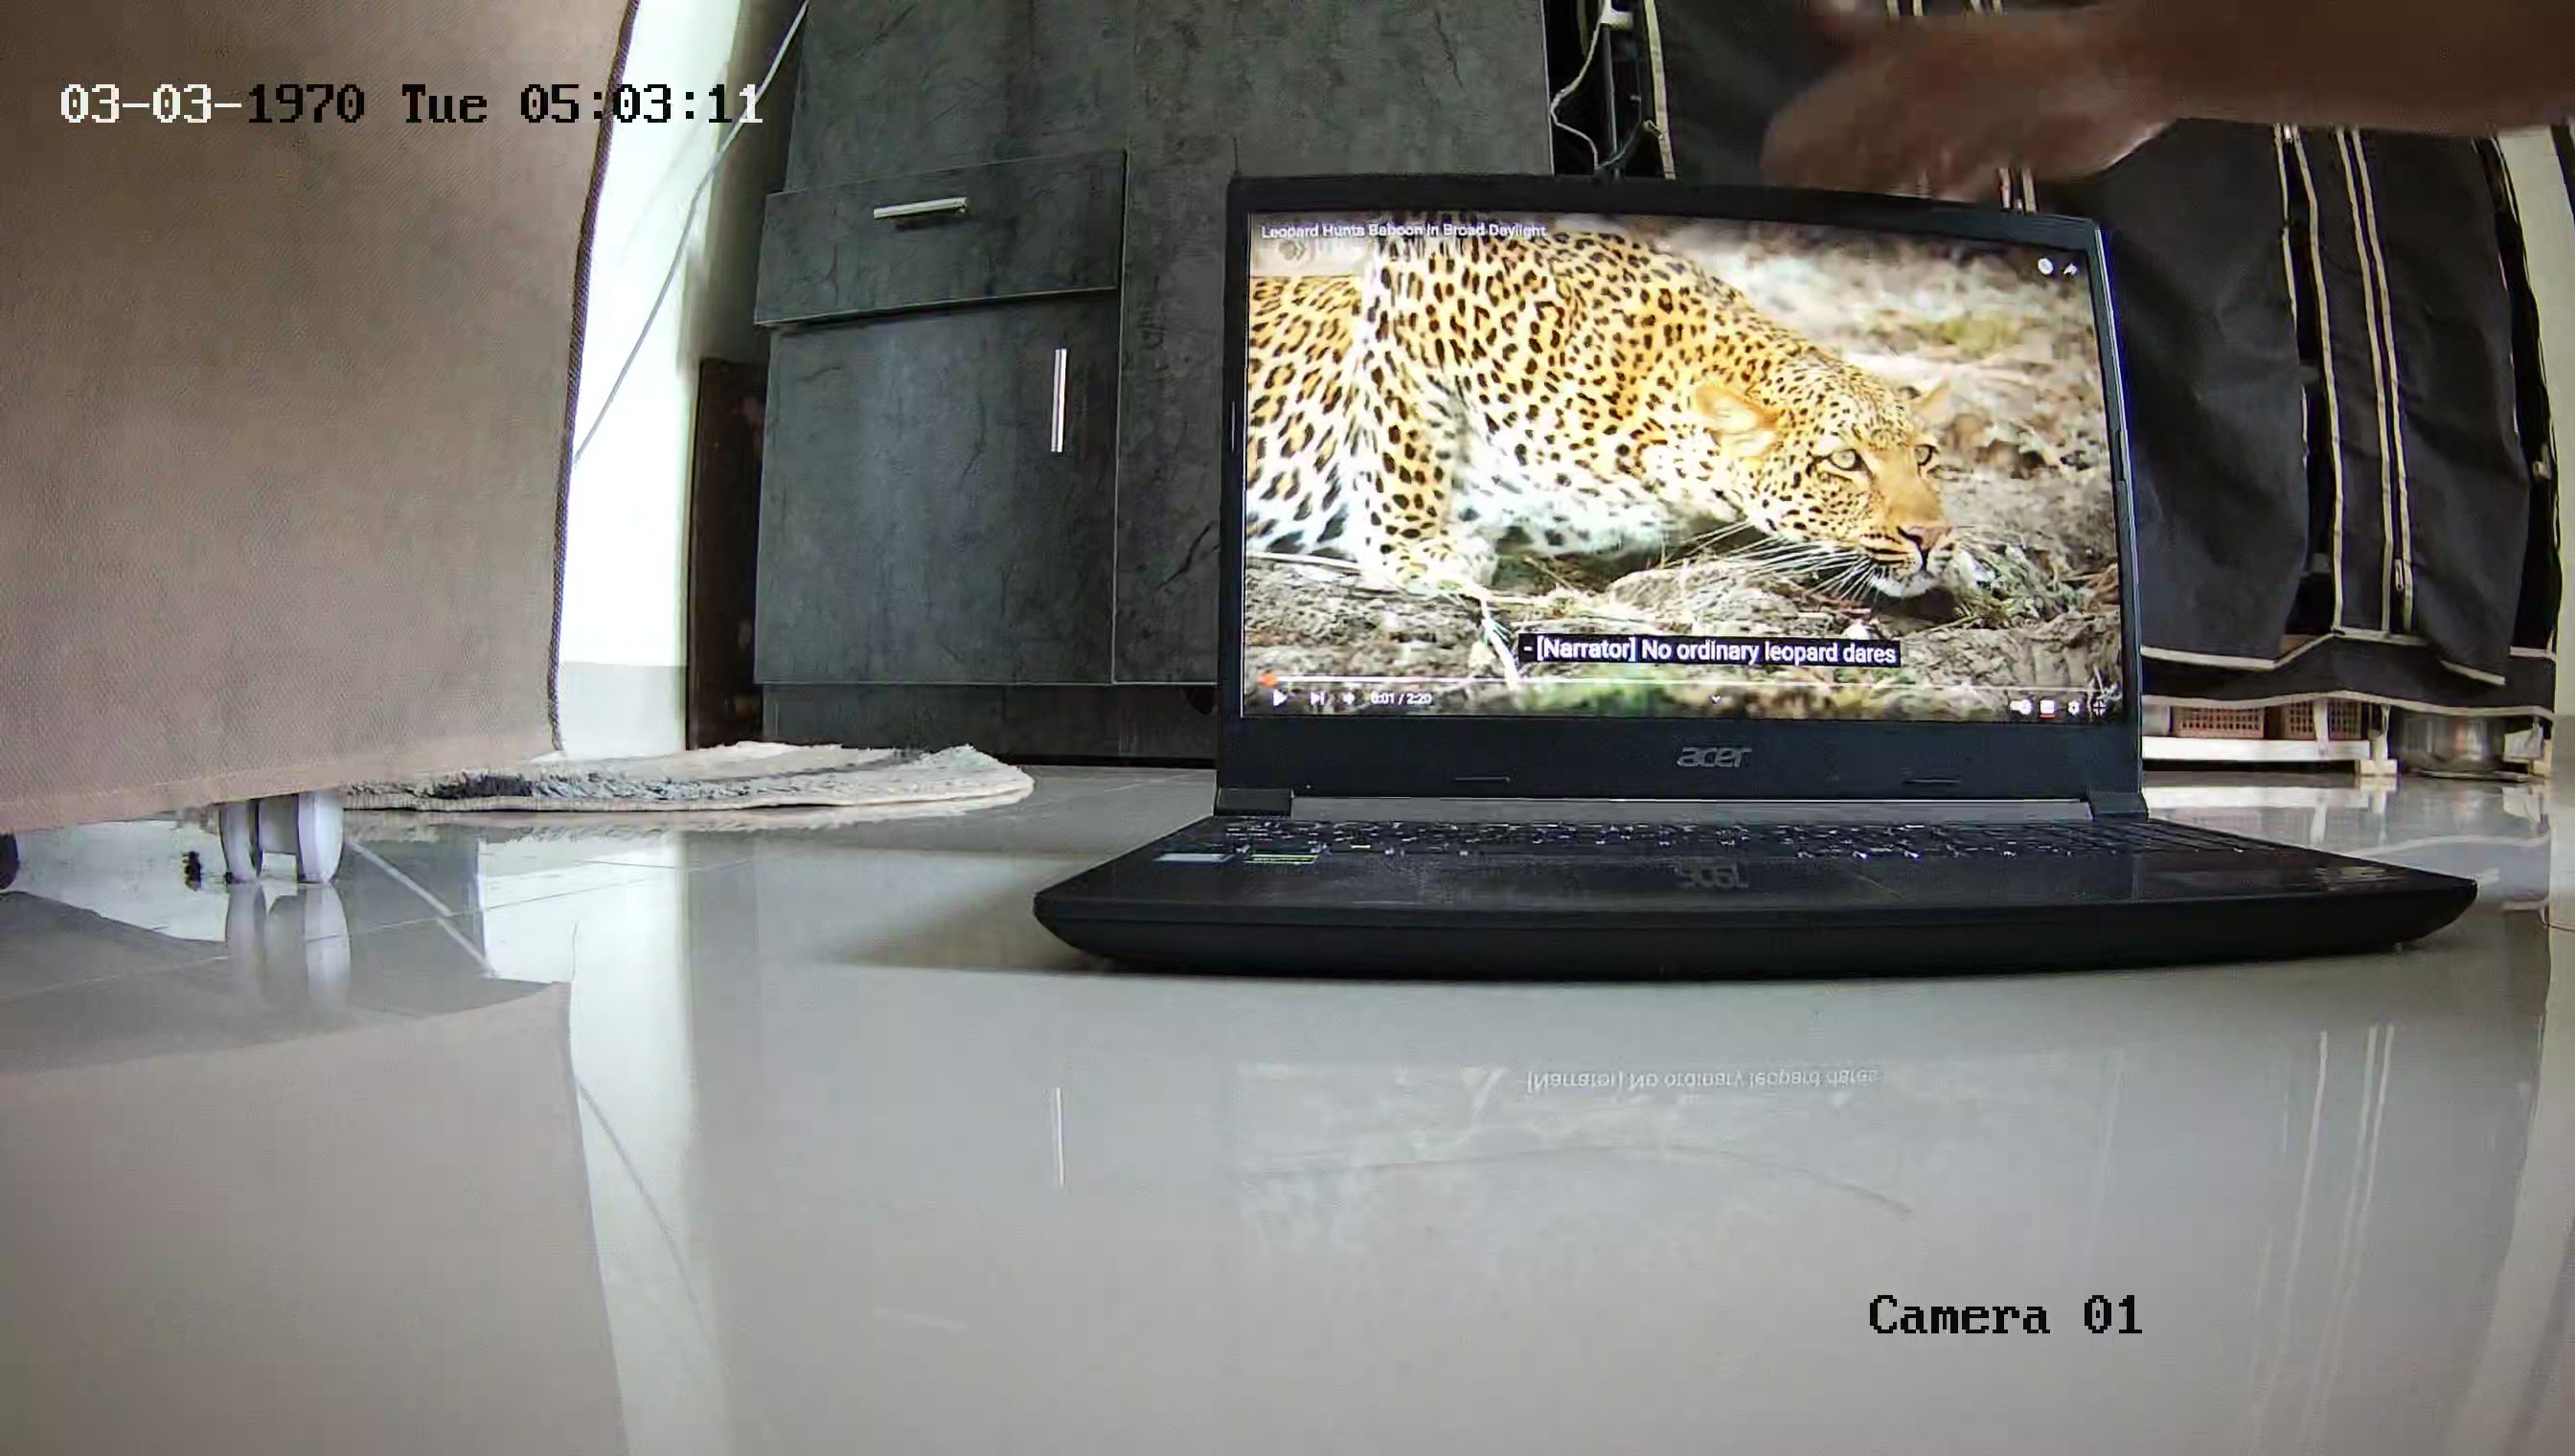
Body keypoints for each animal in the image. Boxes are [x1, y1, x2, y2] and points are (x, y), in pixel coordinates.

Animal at [1242, 222, 1954, 600]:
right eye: (1846, 462)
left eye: (1925, 457)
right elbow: (1403, 440)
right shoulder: (1424, 277)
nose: (1929, 537)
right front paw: (1415, 551)